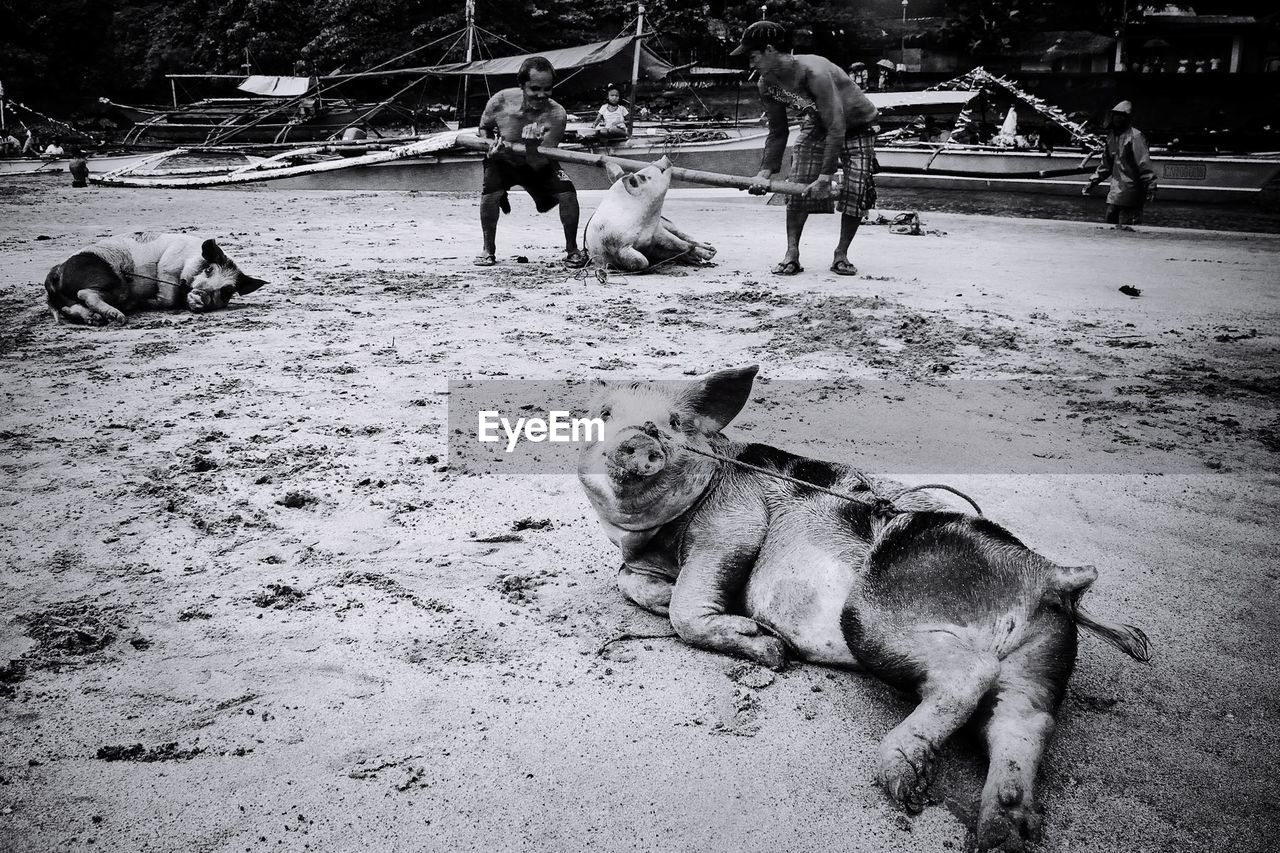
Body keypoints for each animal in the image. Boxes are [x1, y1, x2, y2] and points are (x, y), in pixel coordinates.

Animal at [45, 230, 266, 324]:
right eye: (209, 270)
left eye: (228, 290)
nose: (202, 294)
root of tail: (57, 271)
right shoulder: (167, 266)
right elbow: (167, 298)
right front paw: (148, 303)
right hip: (109, 279)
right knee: (85, 294)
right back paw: (120, 316)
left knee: (69, 307)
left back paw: (96, 319)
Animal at [581, 361, 1152, 845]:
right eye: (604, 415)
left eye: (674, 423)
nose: (637, 440)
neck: (660, 537)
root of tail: (1048, 575)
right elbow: (629, 582)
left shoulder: (733, 518)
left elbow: (690, 600)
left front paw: (770, 648)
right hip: (1042, 660)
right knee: (1025, 723)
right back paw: (999, 833)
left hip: (877, 615)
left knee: (970, 675)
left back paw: (903, 783)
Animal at [586, 154, 716, 270]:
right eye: (644, 177)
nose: (663, 157)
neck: (646, 221)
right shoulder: (619, 245)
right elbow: (642, 261)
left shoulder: (658, 230)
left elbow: (682, 243)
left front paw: (703, 254)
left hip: (668, 223)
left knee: (685, 236)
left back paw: (710, 250)